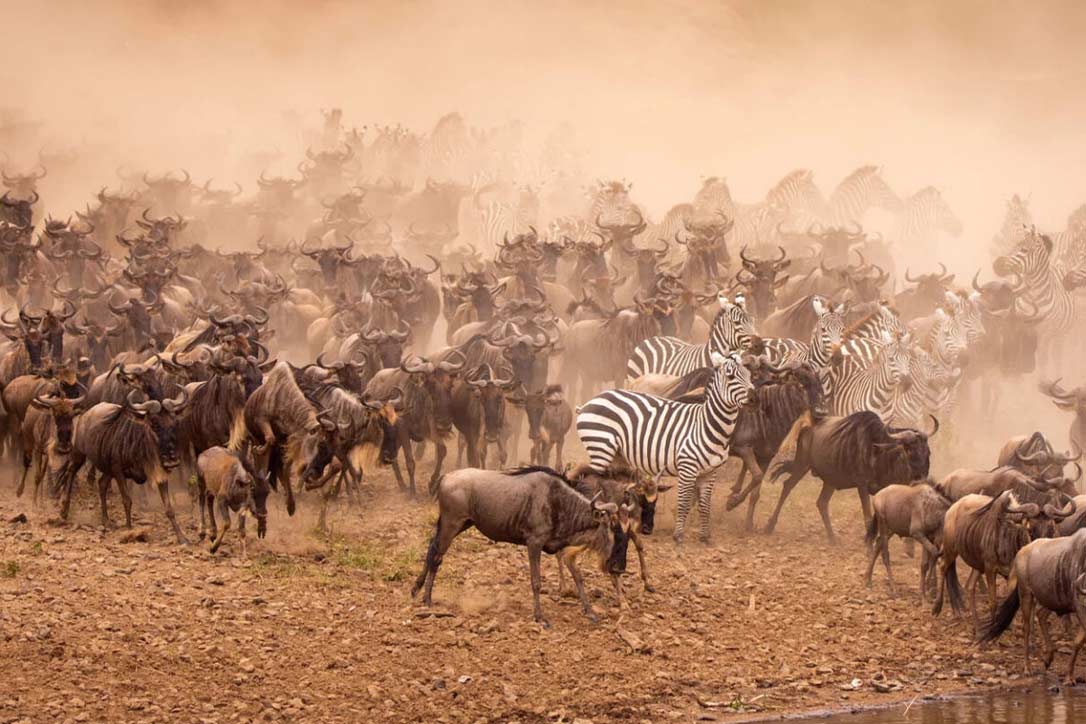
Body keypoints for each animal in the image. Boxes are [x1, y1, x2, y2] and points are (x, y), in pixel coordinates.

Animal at [414, 466, 634, 625]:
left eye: (628, 535)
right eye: (613, 528)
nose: (619, 568)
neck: (558, 501)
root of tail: (446, 477)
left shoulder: (562, 548)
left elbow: (578, 577)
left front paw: (590, 612)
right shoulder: (534, 543)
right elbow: (536, 581)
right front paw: (540, 617)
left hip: (459, 524)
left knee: (431, 548)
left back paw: (416, 590)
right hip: (452, 524)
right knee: (436, 555)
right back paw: (427, 599)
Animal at [577, 351, 755, 542]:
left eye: (749, 375)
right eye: (730, 376)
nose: (754, 397)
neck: (705, 425)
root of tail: (591, 401)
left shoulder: (710, 472)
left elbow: (705, 506)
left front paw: (705, 537)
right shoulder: (687, 468)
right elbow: (684, 503)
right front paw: (678, 536)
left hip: (616, 454)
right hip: (600, 447)